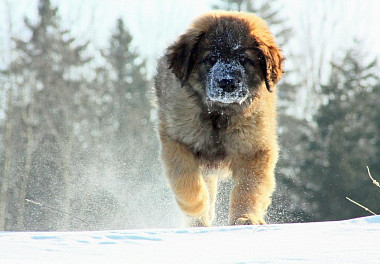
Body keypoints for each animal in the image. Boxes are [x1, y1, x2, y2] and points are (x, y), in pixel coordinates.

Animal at [154, 11, 282, 227]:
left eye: (244, 59)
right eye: (211, 58)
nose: (227, 83)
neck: (219, 113)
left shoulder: (254, 149)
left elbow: (249, 187)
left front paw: (245, 218)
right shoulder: (176, 142)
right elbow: (186, 181)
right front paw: (198, 207)